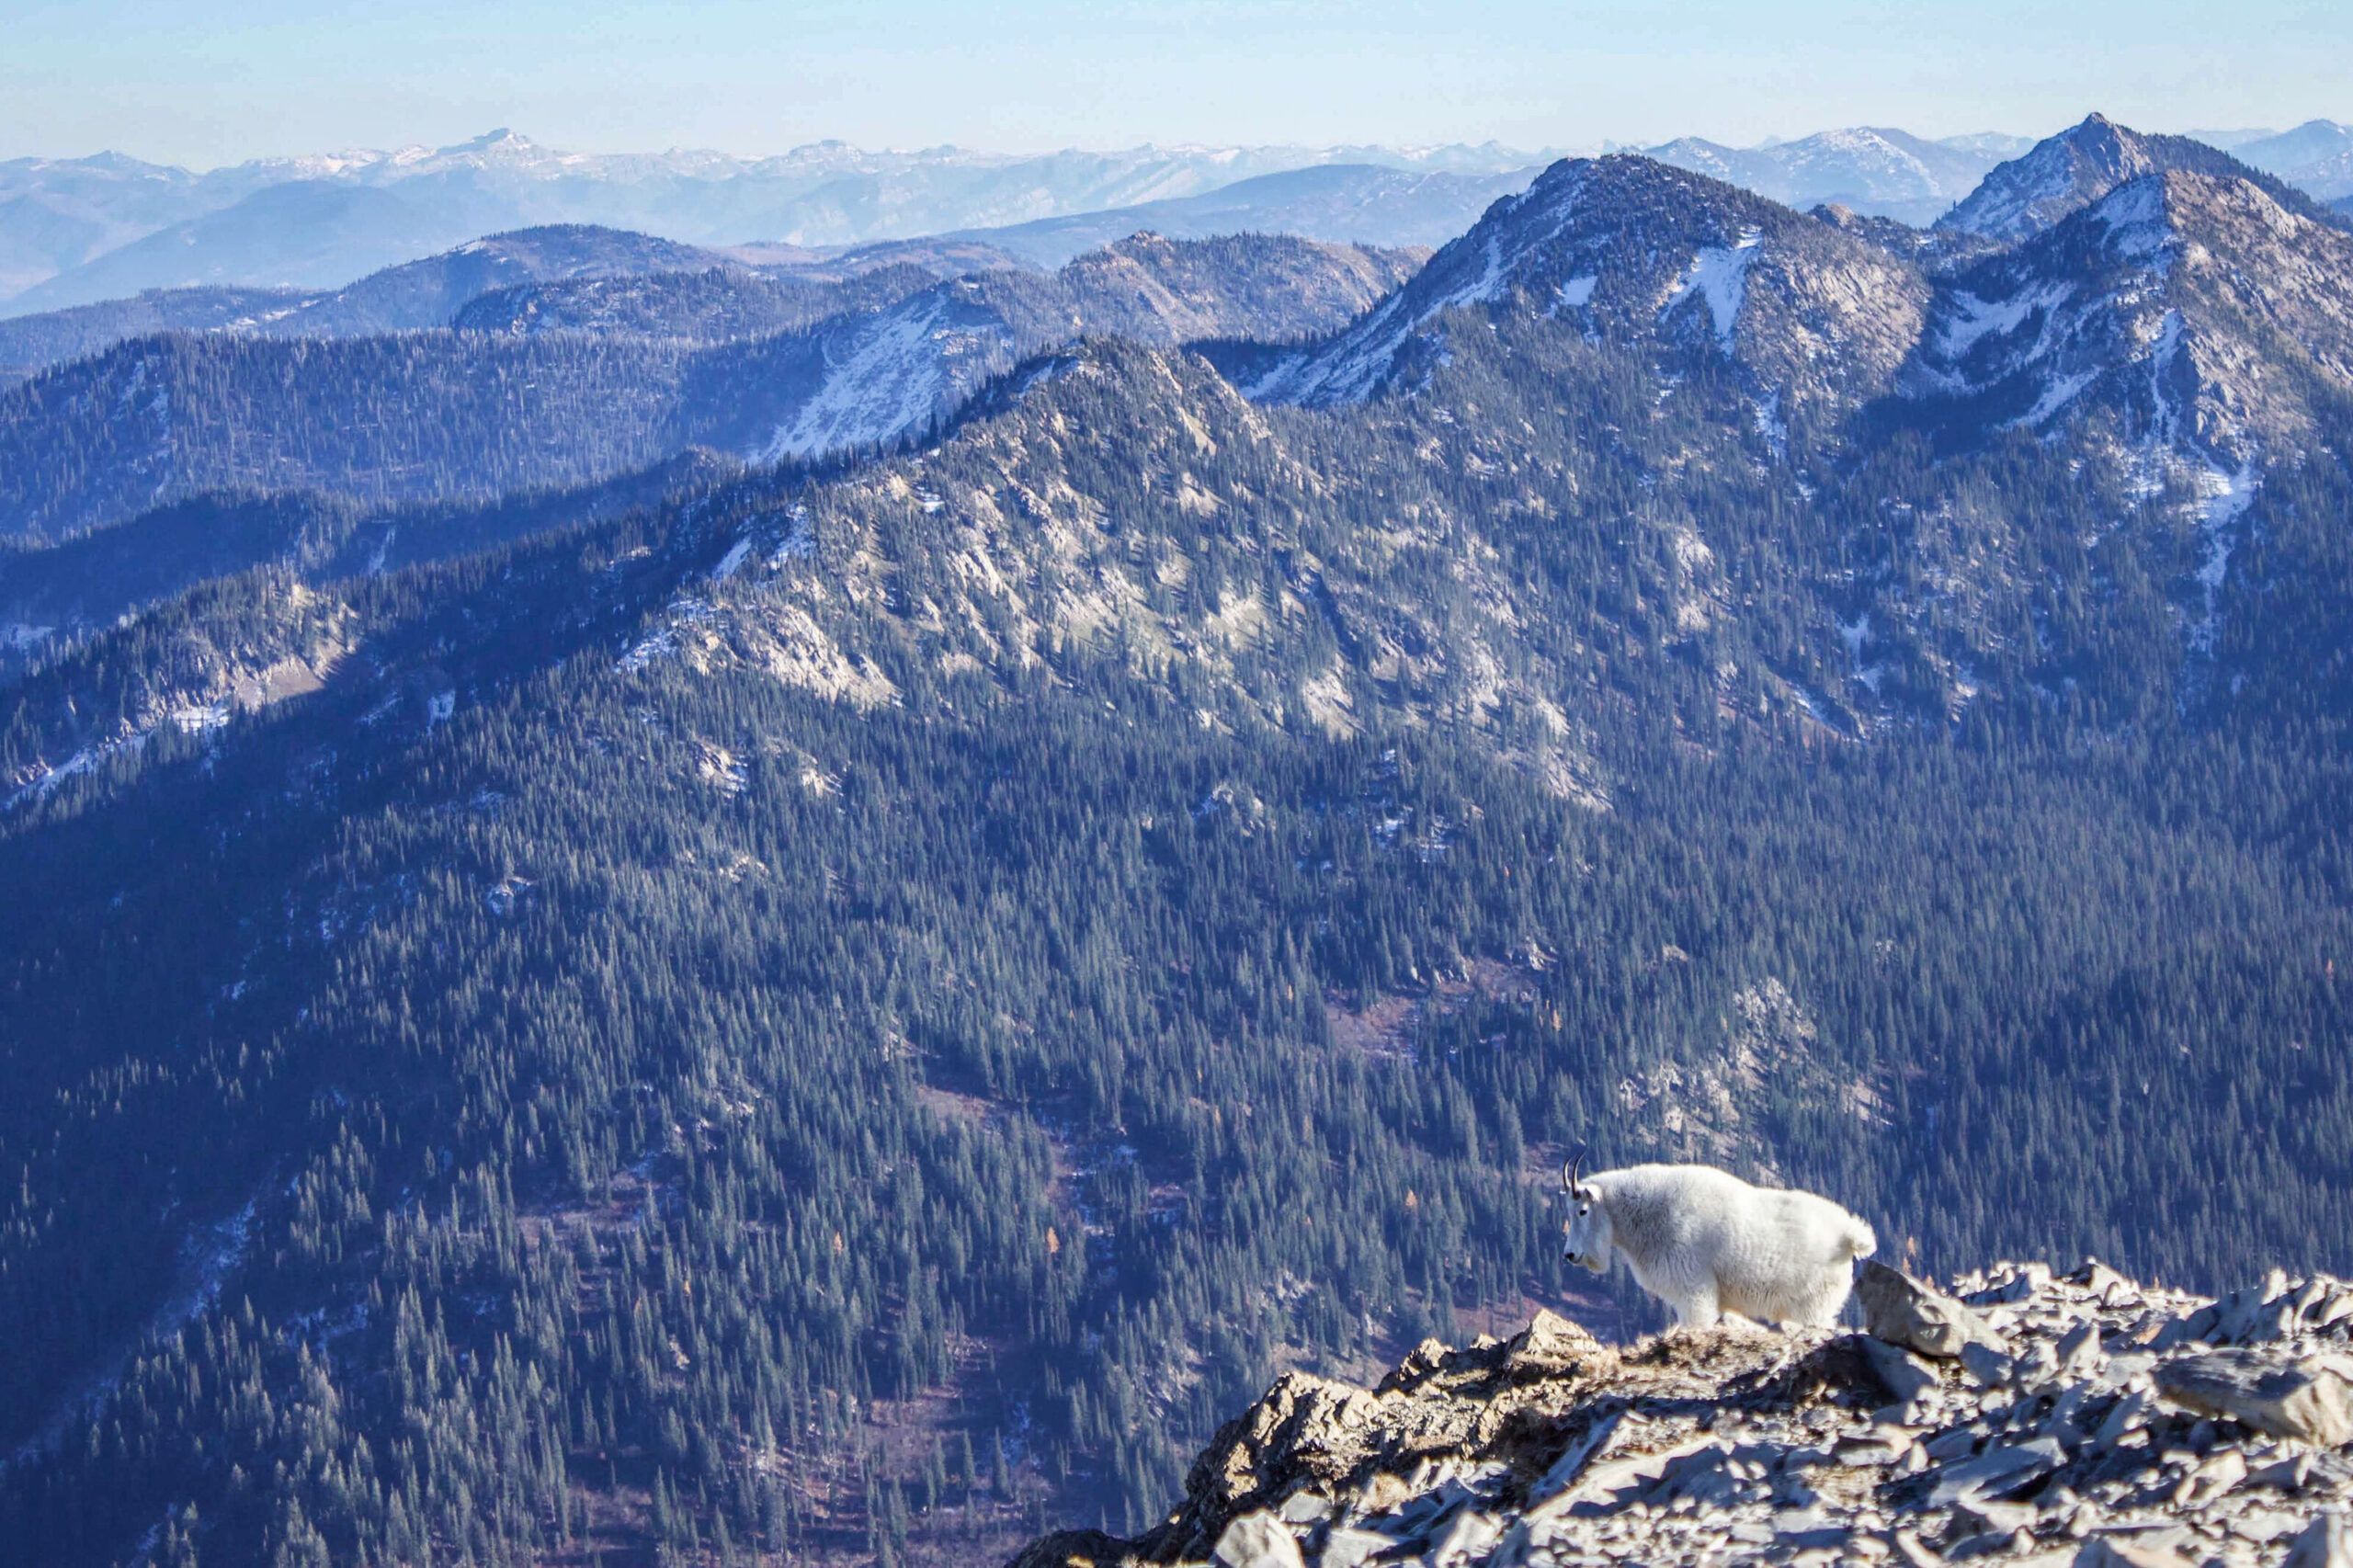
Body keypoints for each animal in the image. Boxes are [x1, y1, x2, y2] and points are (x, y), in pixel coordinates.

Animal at [1559, 1150, 1876, 1329]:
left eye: (1582, 1211)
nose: (1570, 1255)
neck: (1651, 1212)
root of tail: (1849, 1235)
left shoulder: (1694, 1289)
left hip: (1813, 1304)